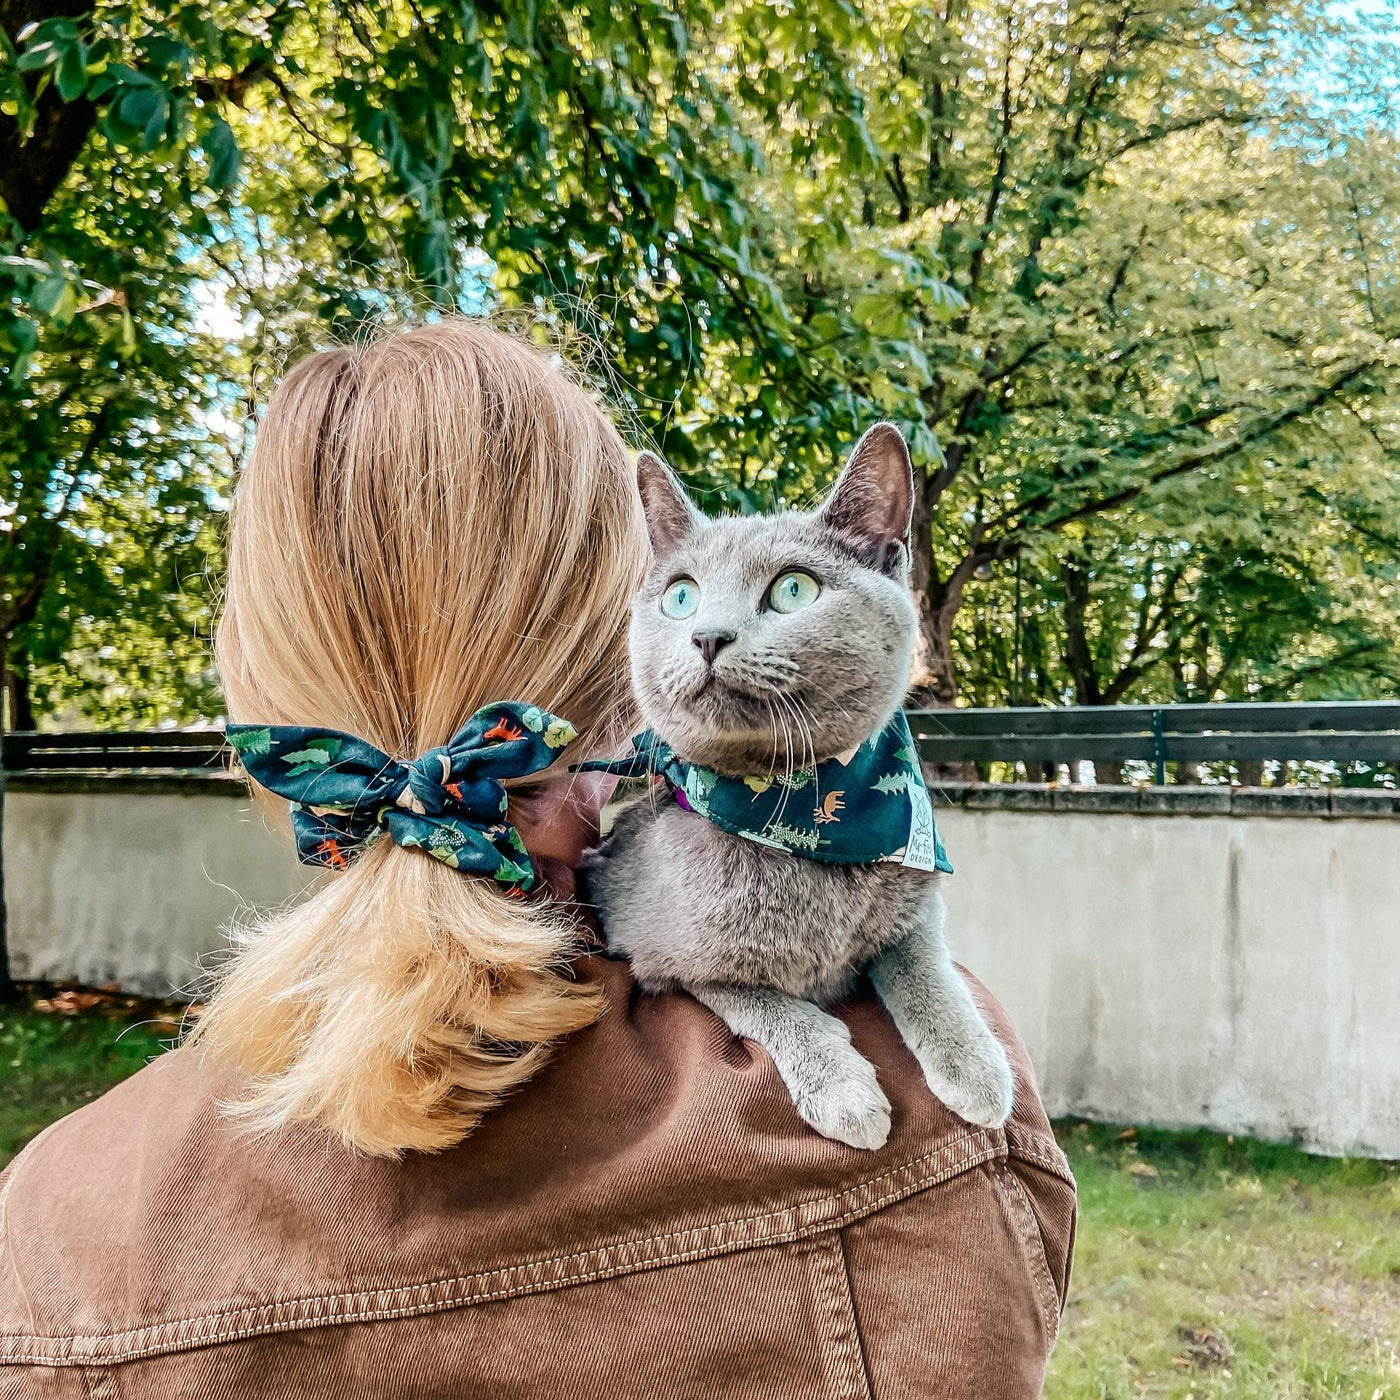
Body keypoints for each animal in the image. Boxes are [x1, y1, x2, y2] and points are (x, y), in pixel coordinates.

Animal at [582, 425, 1019, 1148]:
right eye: (681, 596)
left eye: (793, 590)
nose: (708, 635)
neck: (797, 809)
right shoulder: (658, 956)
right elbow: (760, 999)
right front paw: (845, 1092)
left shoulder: (916, 902)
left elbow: (926, 964)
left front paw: (977, 1070)